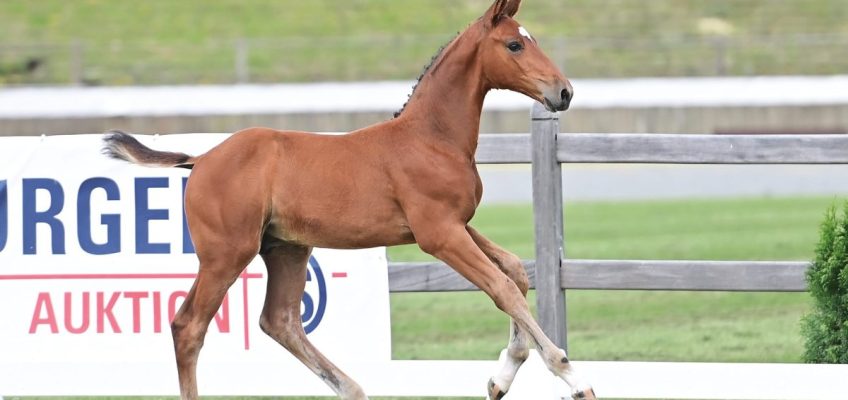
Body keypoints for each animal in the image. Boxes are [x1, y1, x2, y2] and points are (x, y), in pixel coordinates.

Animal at [102, 0, 596, 400]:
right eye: (514, 45)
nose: (564, 92)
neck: (432, 137)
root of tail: (201, 159)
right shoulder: (438, 234)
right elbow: (502, 289)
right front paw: (572, 377)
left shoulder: (456, 224)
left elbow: (514, 271)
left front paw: (501, 377)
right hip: (227, 253)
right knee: (189, 327)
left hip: (286, 248)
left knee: (280, 321)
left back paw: (354, 389)